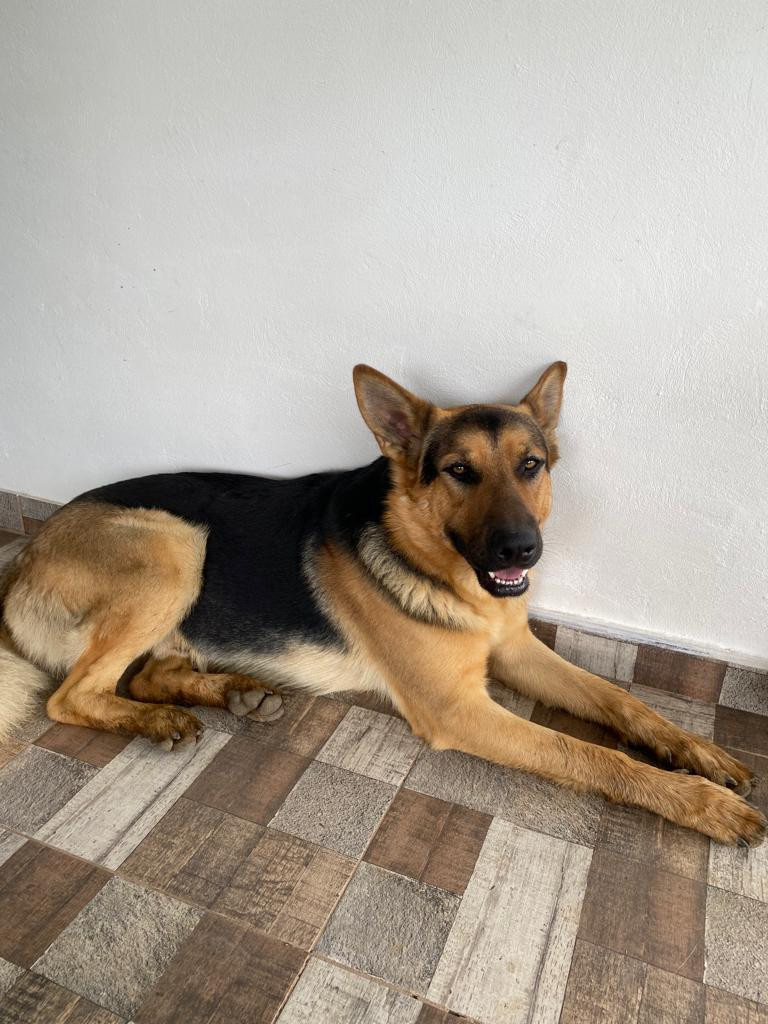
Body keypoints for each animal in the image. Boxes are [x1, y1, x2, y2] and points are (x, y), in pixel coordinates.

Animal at [0, 362, 764, 846]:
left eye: (531, 466)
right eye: (459, 472)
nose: (522, 551)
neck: (439, 569)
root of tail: (22, 560)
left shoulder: (516, 652)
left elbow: (621, 701)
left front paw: (698, 751)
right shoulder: (459, 709)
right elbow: (590, 756)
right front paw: (702, 804)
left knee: (144, 673)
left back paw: (229, 692)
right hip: (176, 543)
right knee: (72, 696)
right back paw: (158, 719)